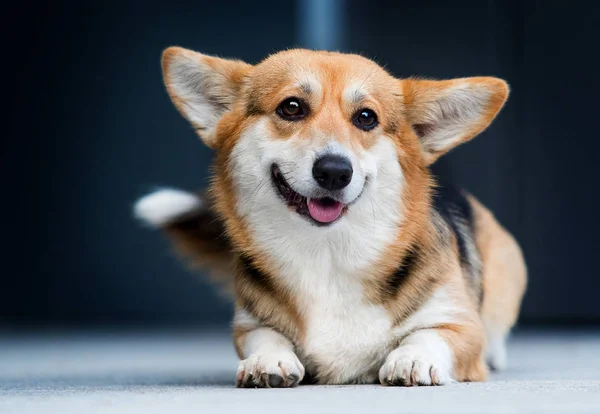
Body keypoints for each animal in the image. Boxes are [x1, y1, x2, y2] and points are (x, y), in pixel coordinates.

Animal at [135, 47, 524, 386]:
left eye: (366, 117)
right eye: (291, 107)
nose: (335, 171)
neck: (328, 253)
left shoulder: (460, 324)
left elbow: (430, 336)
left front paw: (413, 359)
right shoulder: (249, 324)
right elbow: (264, 336)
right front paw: (267, 360)